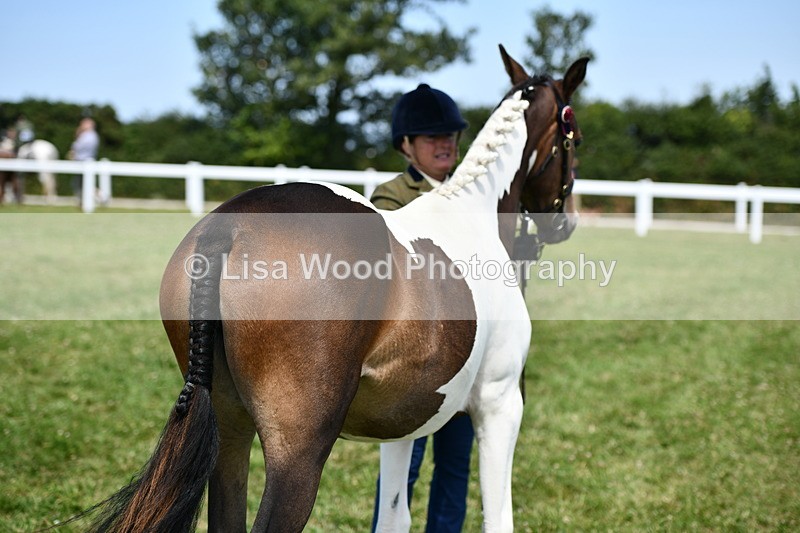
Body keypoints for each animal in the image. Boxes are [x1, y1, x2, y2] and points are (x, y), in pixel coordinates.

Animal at [86, 46, 587, 532]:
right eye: (575, 138)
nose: (566, 222)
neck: (474, 214)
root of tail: (227, 228)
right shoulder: (500, 406)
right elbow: (497, 517)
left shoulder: (403, 425)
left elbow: (393, 516)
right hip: (298, 453)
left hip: (228, 433)